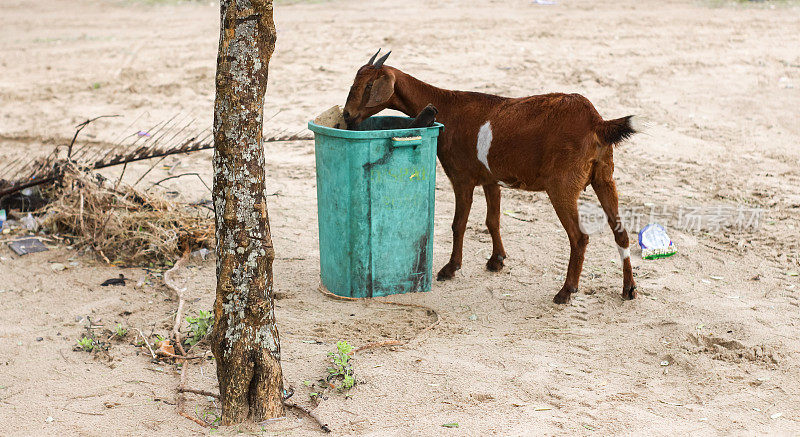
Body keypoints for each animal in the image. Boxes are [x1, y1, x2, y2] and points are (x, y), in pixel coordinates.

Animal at [344, 50, 636, 304]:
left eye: (368, 86)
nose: (347, 115)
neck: (449, 107)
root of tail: (596, 122)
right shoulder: (491, 179)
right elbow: (492, 220)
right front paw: (497, 260)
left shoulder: (461, 176)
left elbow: (458, 224)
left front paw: (450, 268)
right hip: (604, 176)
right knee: (621, 232)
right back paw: (629, 289)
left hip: (562, 185)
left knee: (579, 237)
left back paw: (566, 291)